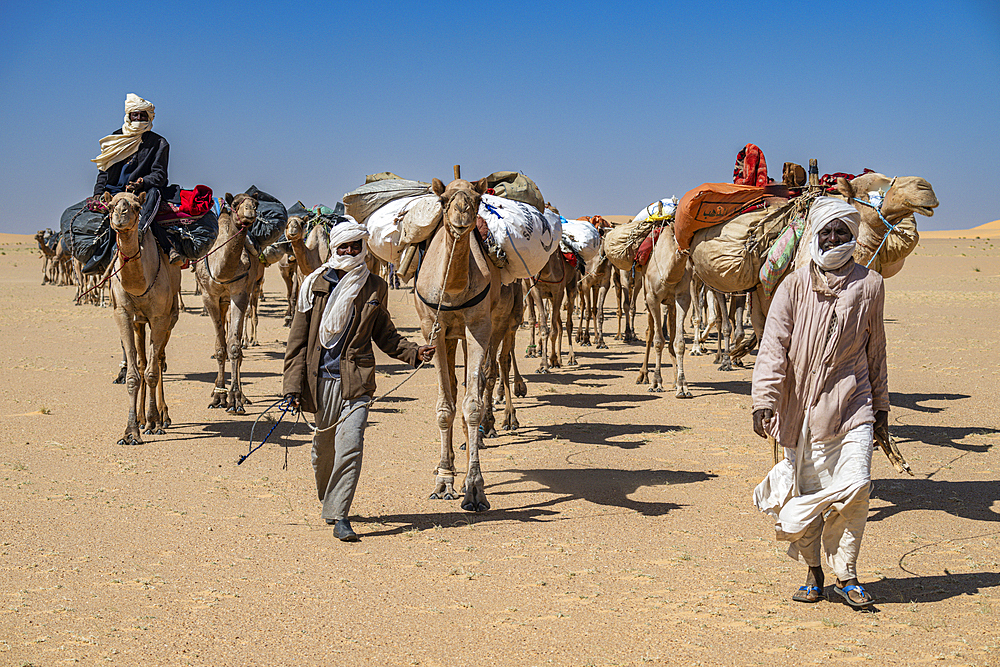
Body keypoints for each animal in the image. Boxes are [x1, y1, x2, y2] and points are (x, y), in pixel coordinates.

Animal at [193, 190, 264, 414]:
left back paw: (241, 395)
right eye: (235, 204)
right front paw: (219, 396)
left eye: (256, 203)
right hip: (221, 303)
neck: (222, 270)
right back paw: (217, 389)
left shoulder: (239, 293)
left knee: (237, 341)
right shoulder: (209, 297)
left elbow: (233, 346)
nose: (250, 212)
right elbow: (219, 347)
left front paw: (234, 399)